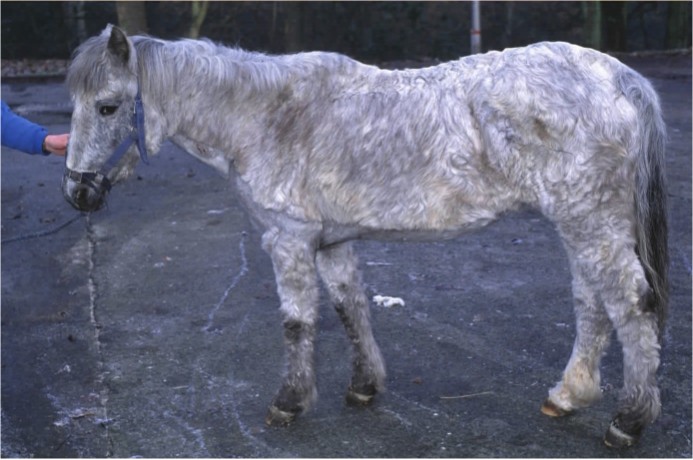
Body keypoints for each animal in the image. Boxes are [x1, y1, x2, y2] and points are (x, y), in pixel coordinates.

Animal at [62, 25, 668, 448]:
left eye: (108, 107)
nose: (78, 193)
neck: (266, 116)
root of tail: (617, 76)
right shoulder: (331, 242)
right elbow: (350, 308)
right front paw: (364, 385)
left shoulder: (289, 240)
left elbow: (297, 322)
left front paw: (289, 402)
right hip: (578, 222)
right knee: (593, 303)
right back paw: (569, 395)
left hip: (591, 222)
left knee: (629, 305)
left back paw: (630, 420)